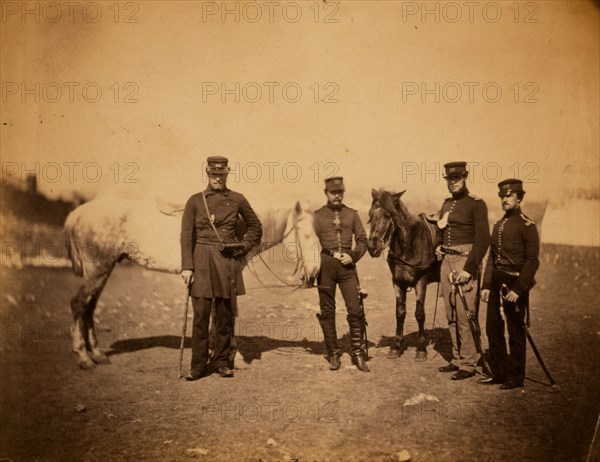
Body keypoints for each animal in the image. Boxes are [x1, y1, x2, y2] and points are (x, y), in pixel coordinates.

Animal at [63, 193, 322, 370]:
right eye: (307, 235)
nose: (314, 272)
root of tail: (77, 214)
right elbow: (226, 316)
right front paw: (233, 357)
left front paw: (215, 354)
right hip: (98, 269)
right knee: (78, 304)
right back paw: (84, 357)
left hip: (102, 270)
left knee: (88, 308)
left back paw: (98, 355)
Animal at [368, 188, 438, 360]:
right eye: (370, 214)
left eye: (388, 215)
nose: (372, 247)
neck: (409, 244)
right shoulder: (398, 282)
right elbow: (400, 313)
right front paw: (396, 346)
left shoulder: (421, 281)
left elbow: (419, 314)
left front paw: (421, 349)